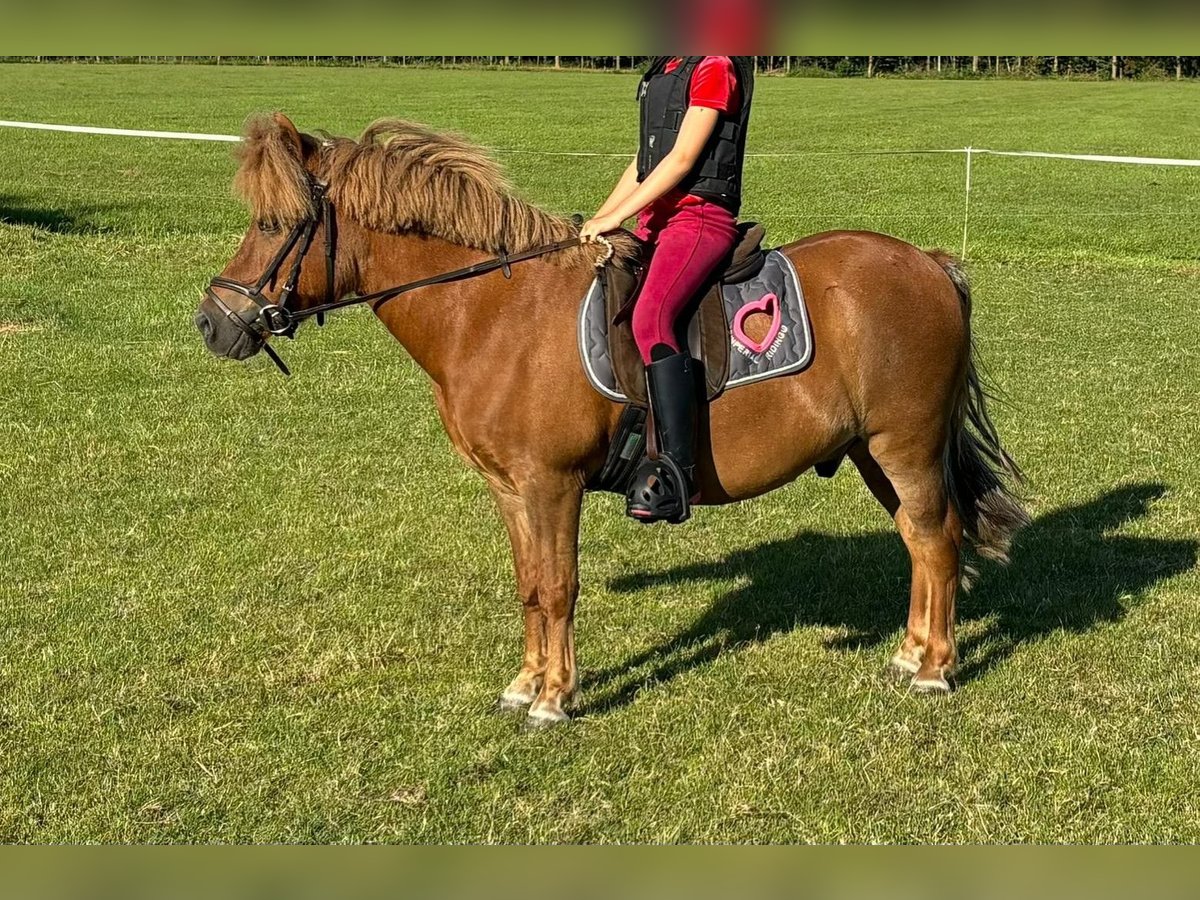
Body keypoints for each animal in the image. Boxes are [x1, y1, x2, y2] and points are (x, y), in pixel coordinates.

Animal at [192, 114, 1027, 734]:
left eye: (276, 222)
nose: (213, 322)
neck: (493, 313)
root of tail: (928, 262)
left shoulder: (551, 484)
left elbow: (560, 587)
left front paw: (555, 699)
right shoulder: (511, 489)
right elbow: (531, 586)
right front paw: (524, 685)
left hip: (906, 446)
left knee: (937, 542)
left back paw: (933, 671)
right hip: (872, 453)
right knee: (919, 542)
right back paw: (909, 654)